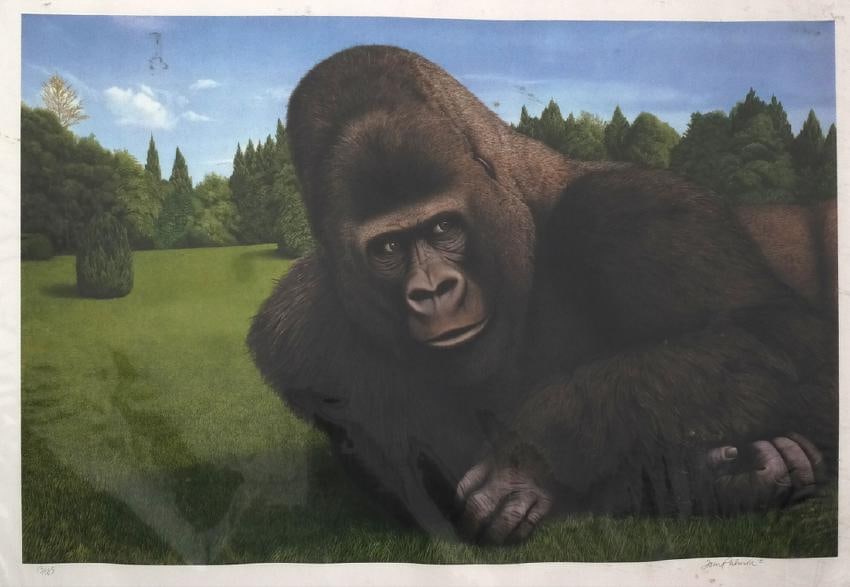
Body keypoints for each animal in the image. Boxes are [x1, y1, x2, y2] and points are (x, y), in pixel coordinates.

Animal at [248, 45, 836, 545]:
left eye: (443, 228)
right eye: (388, 246)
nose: (433, 290)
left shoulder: (642, 211)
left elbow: (786, 341)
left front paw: (532, 450)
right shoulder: (298, 329)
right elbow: (435, 505)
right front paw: (725, 476)